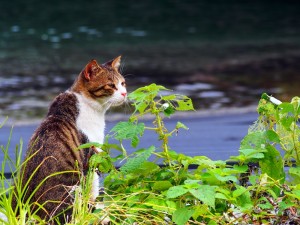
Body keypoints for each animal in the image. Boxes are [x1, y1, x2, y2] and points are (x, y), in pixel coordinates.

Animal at [11, 55, 126, 223]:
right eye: (111, 85)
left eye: (123, 83)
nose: (125, 93)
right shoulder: (91, 155)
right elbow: (93, 188)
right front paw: (95, 211)